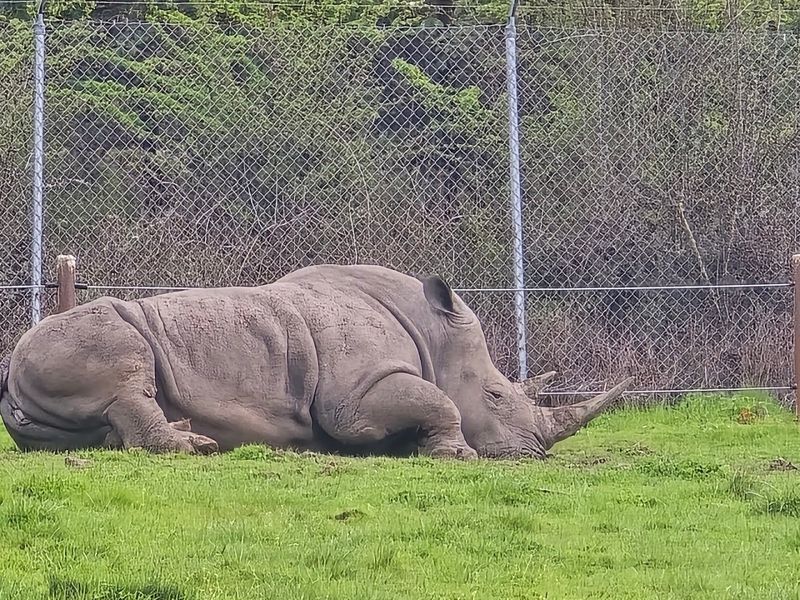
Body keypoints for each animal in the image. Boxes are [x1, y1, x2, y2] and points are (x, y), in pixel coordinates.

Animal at [0, 264, 633, 459]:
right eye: (497, 397)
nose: (533, 455)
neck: (435, 334)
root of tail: (9, 371)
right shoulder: (356, 395)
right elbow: (436, 400)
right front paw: (457, 455)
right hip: (83, 335)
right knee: (125, 373)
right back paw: (195, 446)